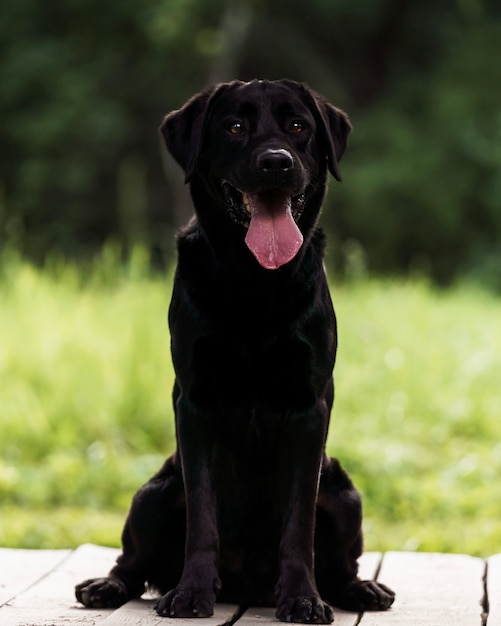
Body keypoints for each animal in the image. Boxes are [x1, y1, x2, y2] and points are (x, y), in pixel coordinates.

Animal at [75, 78, 394, 620]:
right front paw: (191, 593)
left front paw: (302, 598)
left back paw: (360, 589)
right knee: (132, 563)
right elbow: (202, 517)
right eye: (235, 127)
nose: (276, 162)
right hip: (153, 494)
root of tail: (249, 586)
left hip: (344, 493)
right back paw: (105, 586)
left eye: (298, 127)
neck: (253, 284)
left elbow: (298, 525)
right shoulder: (195, 403)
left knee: (341, 564)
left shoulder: (309, 408)